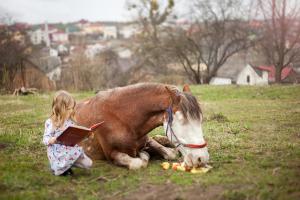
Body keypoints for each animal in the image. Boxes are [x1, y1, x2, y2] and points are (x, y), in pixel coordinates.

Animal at [75, 82, 209, 170]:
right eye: (181, 120)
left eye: (200, 119)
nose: (202, 158)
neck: (123, 118)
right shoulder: (111, 154)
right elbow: (138, 163)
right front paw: (144, 154)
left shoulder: (145, 139)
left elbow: (169, 153)